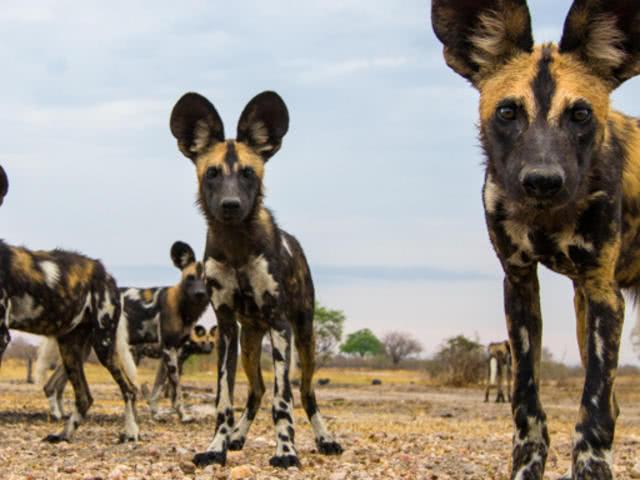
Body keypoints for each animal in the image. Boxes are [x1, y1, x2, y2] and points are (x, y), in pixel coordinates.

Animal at [37, 242, 210, 422]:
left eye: (208, 280)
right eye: (190, 278)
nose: (200, 294)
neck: (183, 306)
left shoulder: (167, 354)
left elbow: (157, 389)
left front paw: (155, 413)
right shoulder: (169, 350)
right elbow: (176, 389)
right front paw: (183, 416)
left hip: (82, 351)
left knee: (52, 385)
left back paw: (61, 414)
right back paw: (58, 415)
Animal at [168, 90, 342, 468]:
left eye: (248, 173)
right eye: (213, 173)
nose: (231, 204)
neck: (237, 246)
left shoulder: (280, 324)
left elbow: (283, 399)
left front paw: (286, 452)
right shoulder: (226, 329)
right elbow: (224, 399)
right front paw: (216, 447)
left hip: (304, 337)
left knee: (306, 392)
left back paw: (325, 440)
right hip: (249, 343)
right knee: (256, 391)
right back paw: (237, 437)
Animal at [432, 0, 640, 480]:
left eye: (580, 114)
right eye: (508, 113)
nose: (542, 181)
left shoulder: (604, 293)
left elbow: (594, 411)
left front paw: (591, 468)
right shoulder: (521, 284)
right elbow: (527, 405)